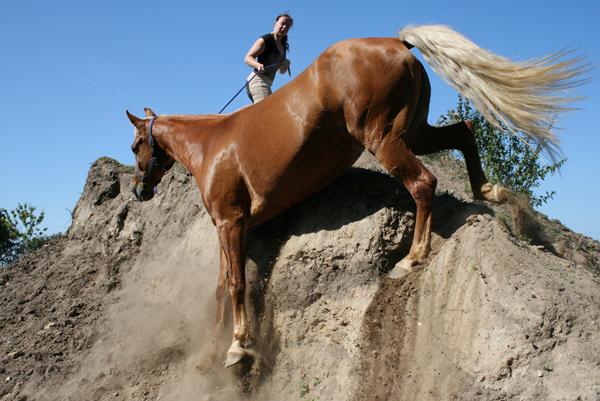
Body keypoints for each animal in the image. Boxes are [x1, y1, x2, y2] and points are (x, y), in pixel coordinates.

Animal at [125, 23, 580, 364]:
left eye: (134, 147)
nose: (139, 191)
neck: (211, 147)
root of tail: (397, 42)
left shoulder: (231, 223)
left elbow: (236, 284)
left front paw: (238, 347)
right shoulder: (231, 227)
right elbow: (222, 286)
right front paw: (218, 345)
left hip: (383, 137)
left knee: (423, 183)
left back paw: (412, 259)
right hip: (415, 130)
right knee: (464, 132)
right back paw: (493, 192)